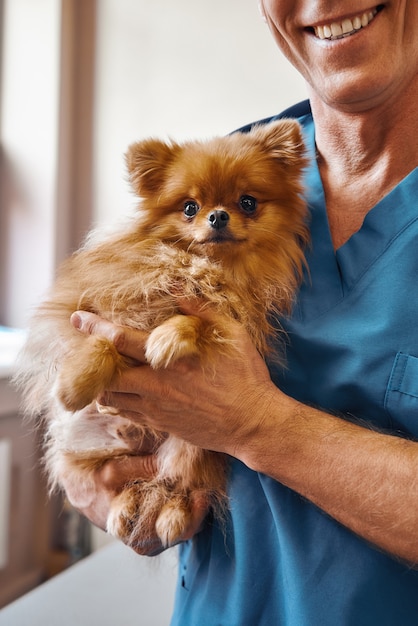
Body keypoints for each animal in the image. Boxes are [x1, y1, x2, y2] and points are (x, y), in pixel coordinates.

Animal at [13, 119, 306, 548]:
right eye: (190, 208)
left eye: (248, 202)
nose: (218, 216)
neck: (203, 267)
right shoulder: (90, 307)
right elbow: (102, 339)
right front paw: (75, 384)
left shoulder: (236, 322)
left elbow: (202, 322)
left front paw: (167, 339)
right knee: (132, 481)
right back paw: (124, 507)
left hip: (192, 446)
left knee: (174, 482)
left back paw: (172, 512)